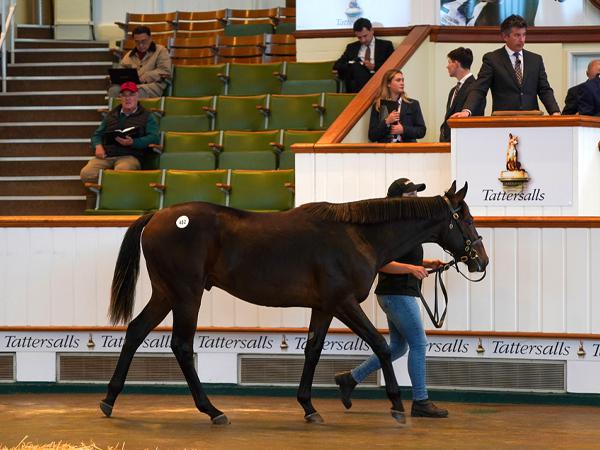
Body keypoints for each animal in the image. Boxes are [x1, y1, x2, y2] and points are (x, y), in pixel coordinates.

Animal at [101, 180, 490, 426]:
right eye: (467, 219)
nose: (481, 261)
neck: (357, 236)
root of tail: (157, 216)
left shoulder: (324, 306)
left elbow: (313, 350)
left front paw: (308, 406)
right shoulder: (344, 302)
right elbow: (379, 344)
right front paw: (396, 404)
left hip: (166, 293)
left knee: (135, 332)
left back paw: (109, 400)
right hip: (186, 295)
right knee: (181, 345)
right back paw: (212, 410)